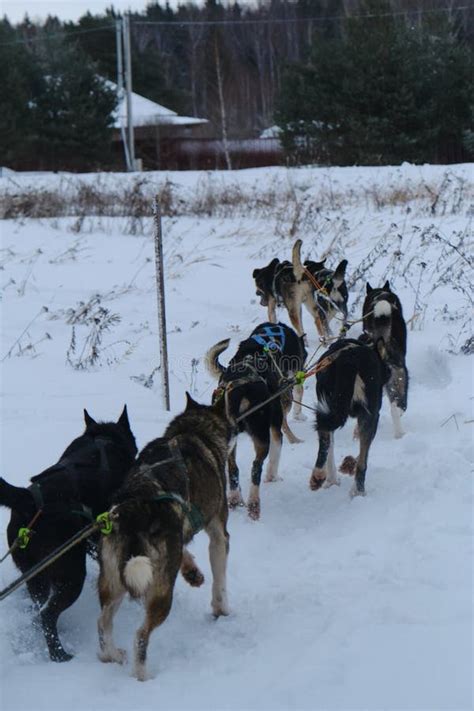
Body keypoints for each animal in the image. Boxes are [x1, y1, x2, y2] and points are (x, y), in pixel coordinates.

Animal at [0, 408, 137, 664]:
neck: (103, 439)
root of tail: (28, 500)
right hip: (71, 573)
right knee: (47, 614)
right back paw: (59, 654)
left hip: (35, 574)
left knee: (40, 606)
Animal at [207, 326, 308, 520]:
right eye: (303, 353)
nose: (303, 370)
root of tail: (241, 391)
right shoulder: (275, 428)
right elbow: (276, 453)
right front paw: (273, 476)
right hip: (262, 436)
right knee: (256, 468)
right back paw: (254, 503)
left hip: (228, 440)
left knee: (232, 468)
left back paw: (234, 498)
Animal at [310, 338, 390, 496]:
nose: (389, 372)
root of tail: (351, 358)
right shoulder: (373, 415)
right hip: (370, 414)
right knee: (363, 463)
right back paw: (358, 491)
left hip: (329, 406)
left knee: (325, 437)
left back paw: (318, 475)